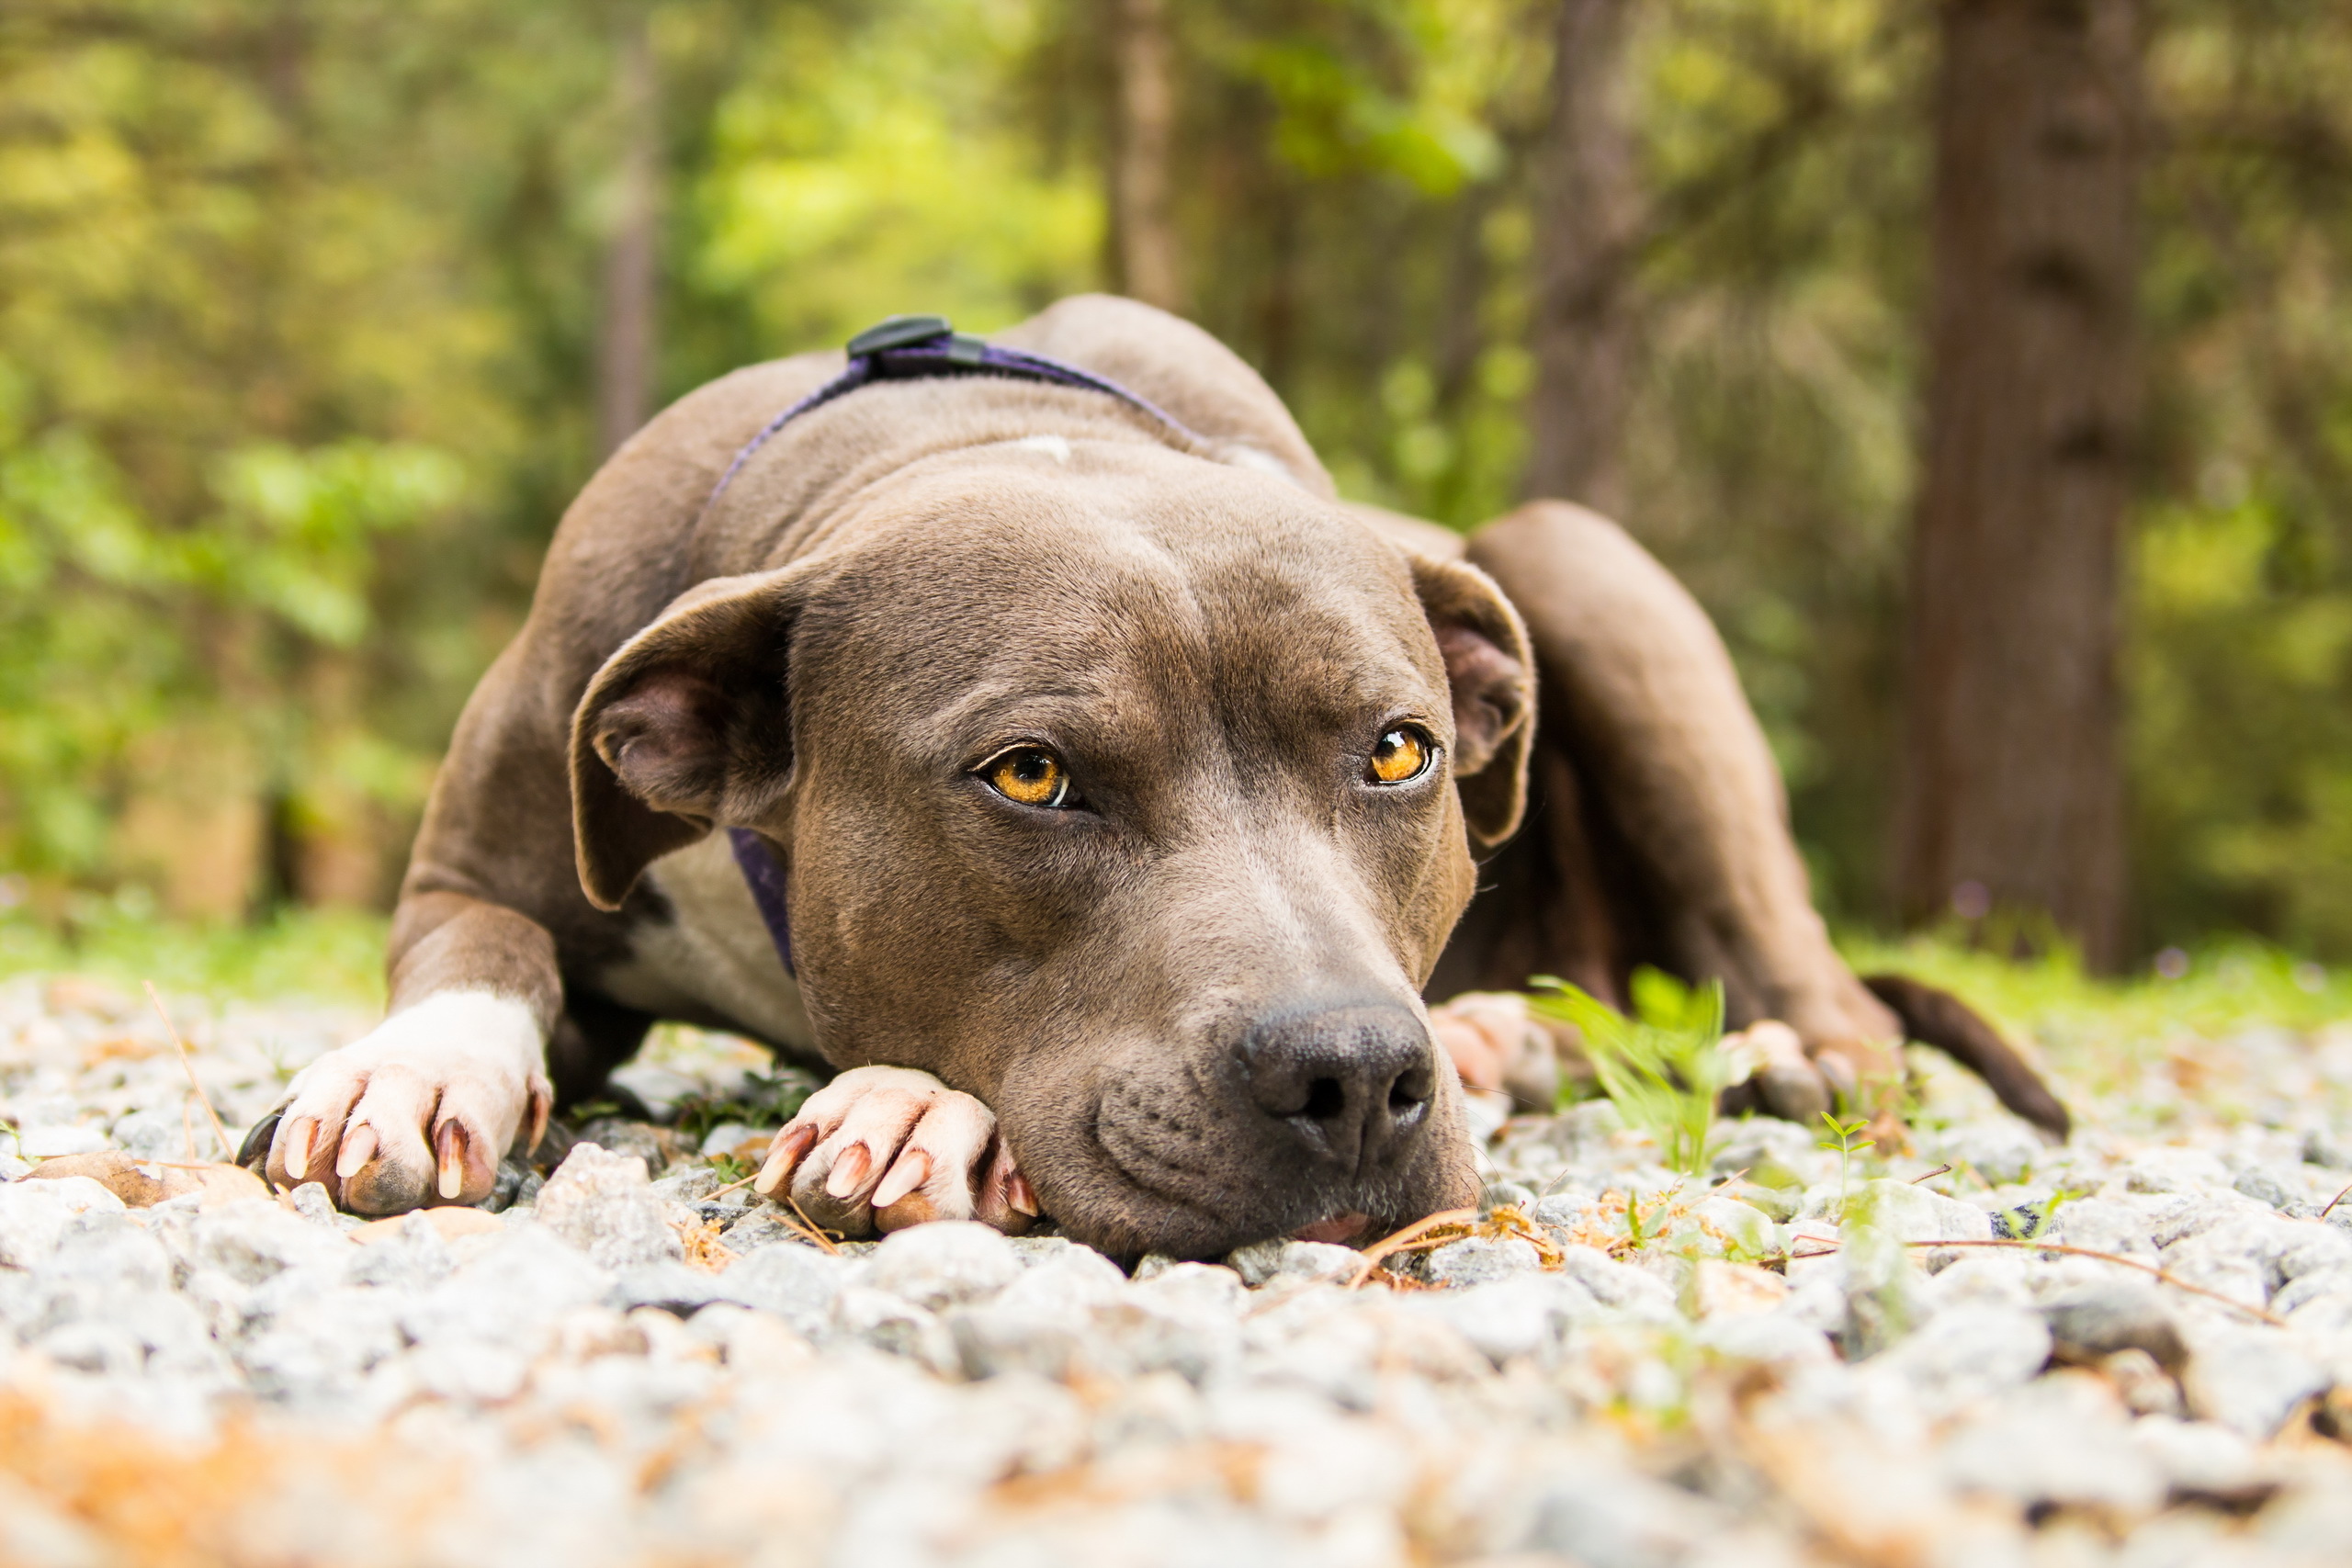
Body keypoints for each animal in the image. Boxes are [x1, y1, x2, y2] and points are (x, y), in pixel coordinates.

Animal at [238, 297, 2060, 1259]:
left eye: (1397, 749)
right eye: (1032, 776)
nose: (1358, 1076)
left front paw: (909, 1107)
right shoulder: (484, 862)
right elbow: (487, 955)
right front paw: (409, 1071)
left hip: (1578, 562)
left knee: (1824, 988)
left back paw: (1774, 1054)